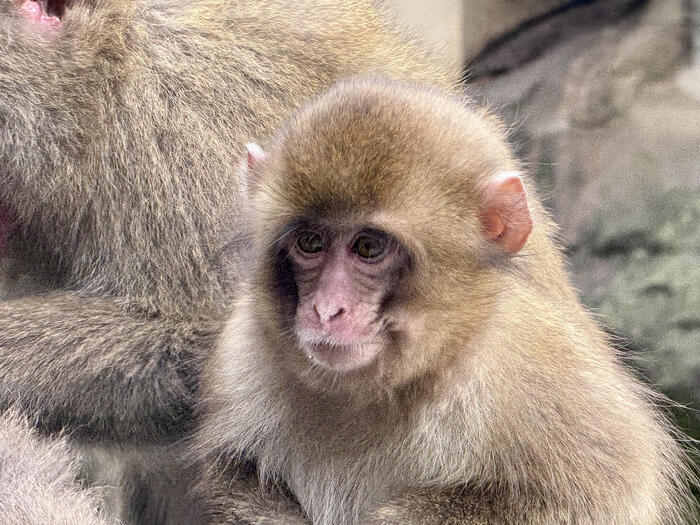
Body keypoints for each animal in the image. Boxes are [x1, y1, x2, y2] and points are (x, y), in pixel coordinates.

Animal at [197, 79, 696, 524]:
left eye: (368, 248)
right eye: (311, 243)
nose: (326, 310)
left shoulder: (532, 360)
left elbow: (605, 491)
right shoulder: (242, 357)